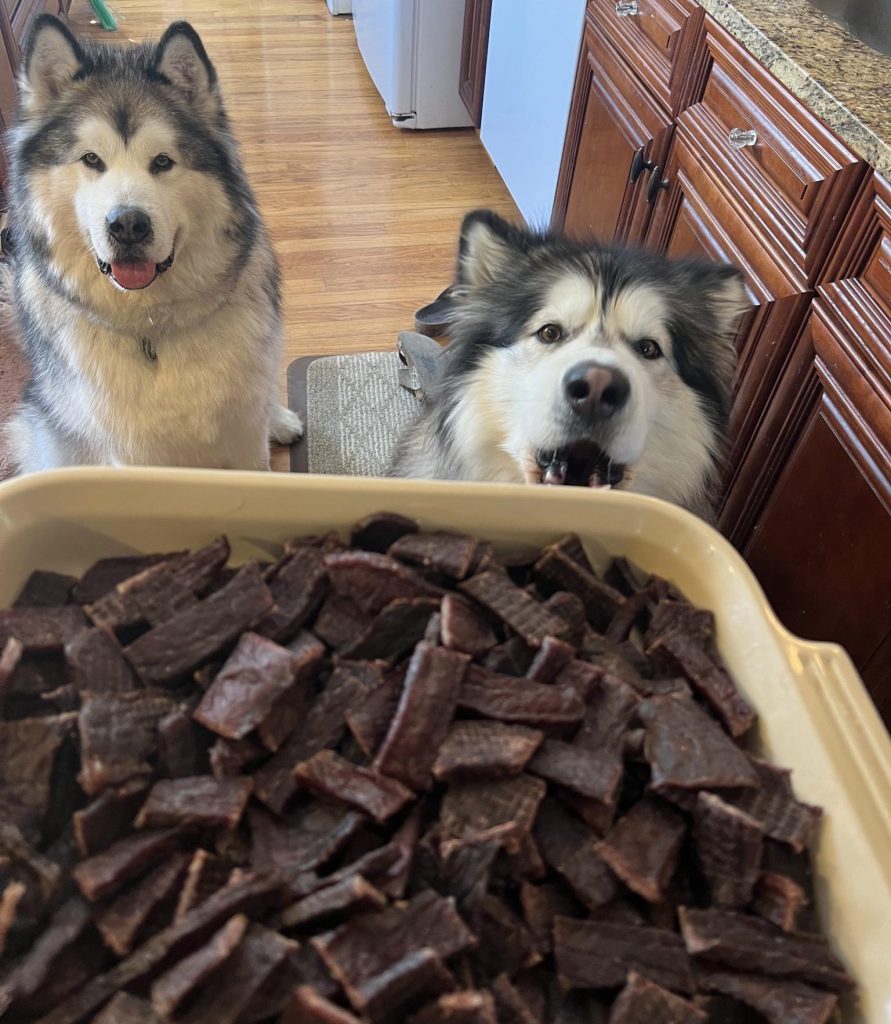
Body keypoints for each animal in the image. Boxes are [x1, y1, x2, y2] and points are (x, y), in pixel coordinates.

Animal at [0, 17, 303, 471]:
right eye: (91, 159)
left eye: (162, 161)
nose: (127, 225)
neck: (152, 328)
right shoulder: (133, 451)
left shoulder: (244, 434)